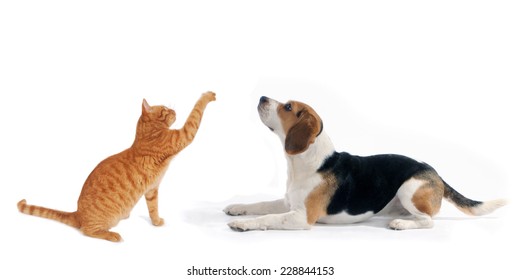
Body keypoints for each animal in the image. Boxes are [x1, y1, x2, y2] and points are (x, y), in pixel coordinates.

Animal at [16, 91, 215, 241]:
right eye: (165, 109)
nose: (173, 110)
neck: (146, 134)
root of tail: (77, 213)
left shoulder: (152, 190)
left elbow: (153, 209)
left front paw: (156, 222)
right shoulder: (184, 134)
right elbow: (197, 111)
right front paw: (208, 95)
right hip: (97, 225)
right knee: (88, 231)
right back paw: (112, 235)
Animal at [224, 96, 508, 232]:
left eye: (288, 107)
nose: (262, 97)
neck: (306, 163)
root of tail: (435, 172)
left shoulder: (301, 217)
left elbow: (268, 217)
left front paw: (243, 224)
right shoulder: (288, 203)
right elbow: (261, 205)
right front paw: (237, 209)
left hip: (409, 188)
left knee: (428, 221)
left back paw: (401, 224)